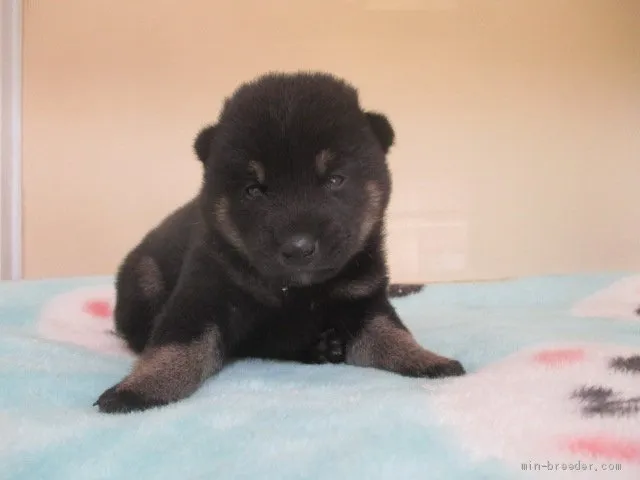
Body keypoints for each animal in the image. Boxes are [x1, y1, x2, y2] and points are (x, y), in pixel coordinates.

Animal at [95, 70, 464, 412]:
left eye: (335, 179)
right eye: (254, 190)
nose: (298, 248)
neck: (294, 291)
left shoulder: (362, 298)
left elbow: (390, 332)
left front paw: (426, 359)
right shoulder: (204, 294)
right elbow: (175, 346)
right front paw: (142, 387)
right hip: (146, 279)